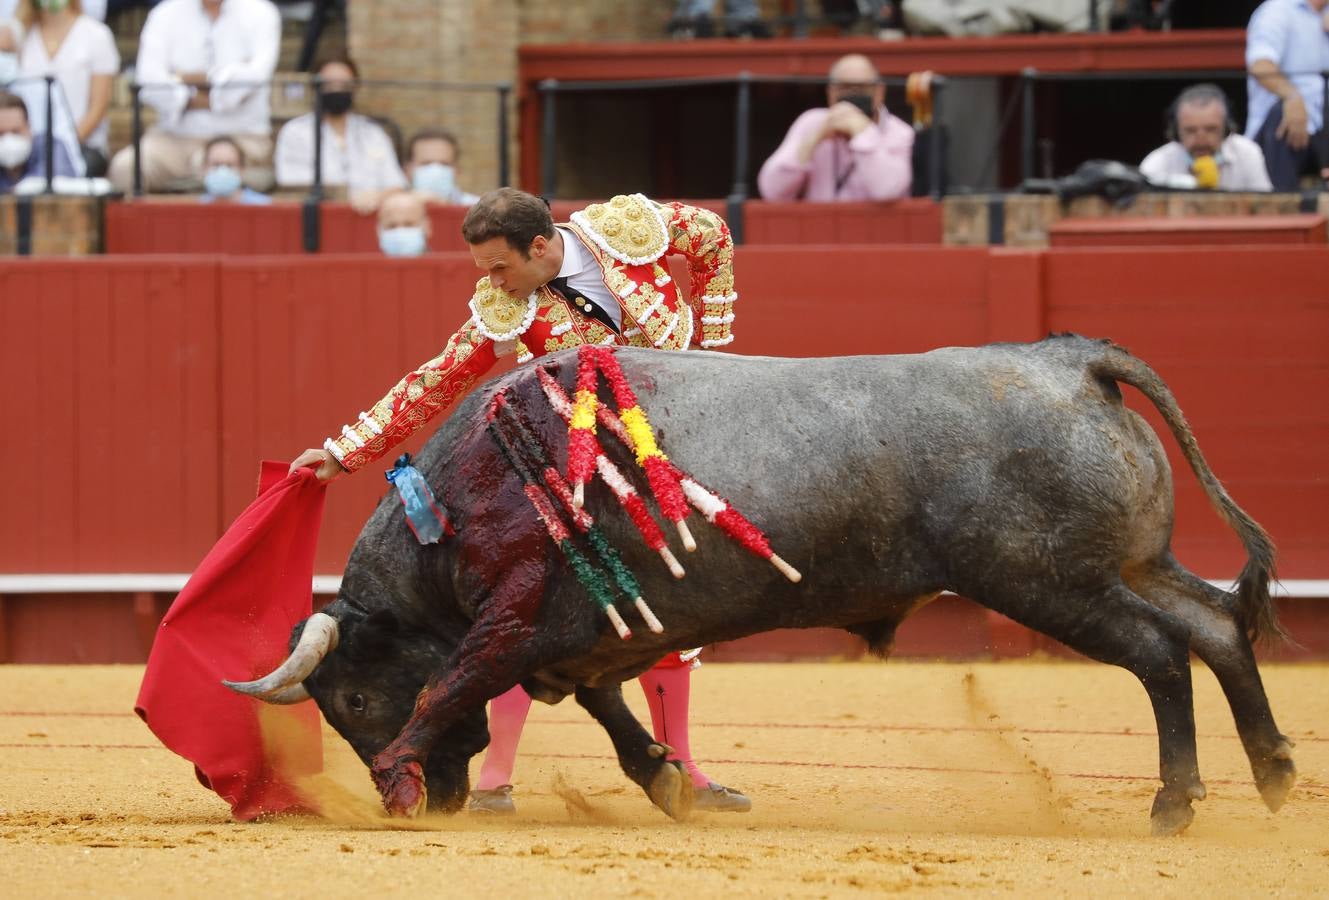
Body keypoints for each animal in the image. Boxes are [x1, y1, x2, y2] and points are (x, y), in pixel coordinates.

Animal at [223, 337, 1291, 834]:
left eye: (356, 702)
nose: (438, 800)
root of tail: (1066, 359)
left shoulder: (512, 617)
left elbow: (453, 685)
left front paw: (398, 773)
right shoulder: (584, 635)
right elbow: (608, 710)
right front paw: (667, 783)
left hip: (1051, 582)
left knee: (1160, 652)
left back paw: (1174, 803)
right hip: (1129, 565)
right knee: (1216, 627)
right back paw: (1274, 773)